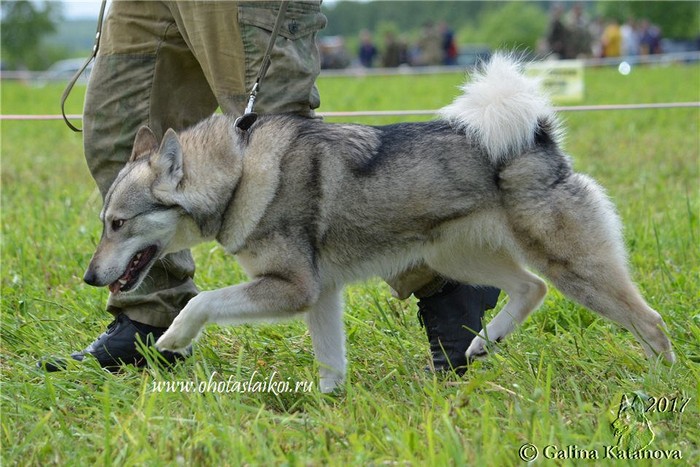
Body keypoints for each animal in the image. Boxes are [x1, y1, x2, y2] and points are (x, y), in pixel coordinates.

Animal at [83, 54, 674, 392]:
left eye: (118, 223)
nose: (89, 278)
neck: (238, 173)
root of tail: (538, 136)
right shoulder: (320, 295)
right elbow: (330, 363)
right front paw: (329, 409)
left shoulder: (294, 289)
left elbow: (200, 301)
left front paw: (172, 338)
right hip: (455, 253)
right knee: (530, 289)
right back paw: (481, 344)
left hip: (573, 267)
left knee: (650, 323)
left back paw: (659, 390)